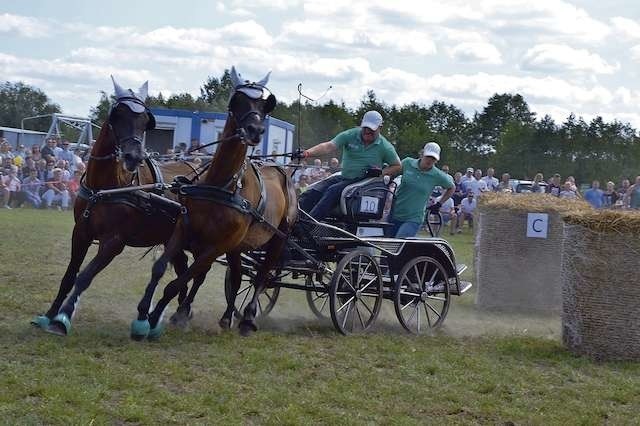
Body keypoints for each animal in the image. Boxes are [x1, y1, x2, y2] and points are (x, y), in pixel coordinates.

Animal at [32, 76, 202, 336]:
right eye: (118, 115)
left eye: (145, 121)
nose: (134, 157)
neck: (105, 187)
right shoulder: (80, 233)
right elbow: (69, 276)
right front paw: (50, 314)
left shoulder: (114, 242)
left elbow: (85, 276)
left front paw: (63, 318)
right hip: (172, 237)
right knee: (183, 267)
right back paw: (172, 314)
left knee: (196, 272)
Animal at [134, 67, 298, 340]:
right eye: (236, 101)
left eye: (265, 106)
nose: (255, 130)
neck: (221, 185)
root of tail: (285, 173)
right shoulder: (185, 230)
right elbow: (161, 268)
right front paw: (146, 311)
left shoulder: (216, 246)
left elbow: (181, 280)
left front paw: (157, 316)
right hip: (238, 246)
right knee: (238, 275)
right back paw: (227, 317)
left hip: (278, 238)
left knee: (262, 276)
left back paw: (247, 319)